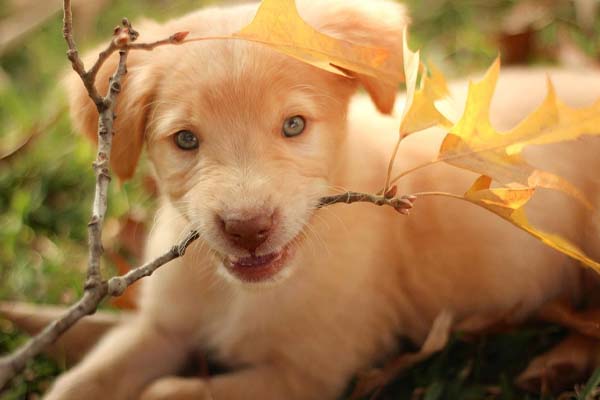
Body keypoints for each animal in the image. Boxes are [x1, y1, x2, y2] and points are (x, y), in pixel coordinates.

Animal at [47, 0, 600, 400]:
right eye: (185, 140)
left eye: (294, 126)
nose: (247, 229)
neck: (241, 294)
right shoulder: (162, 326)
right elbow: (84, 381)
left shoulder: (309, 374)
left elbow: (172, 392)